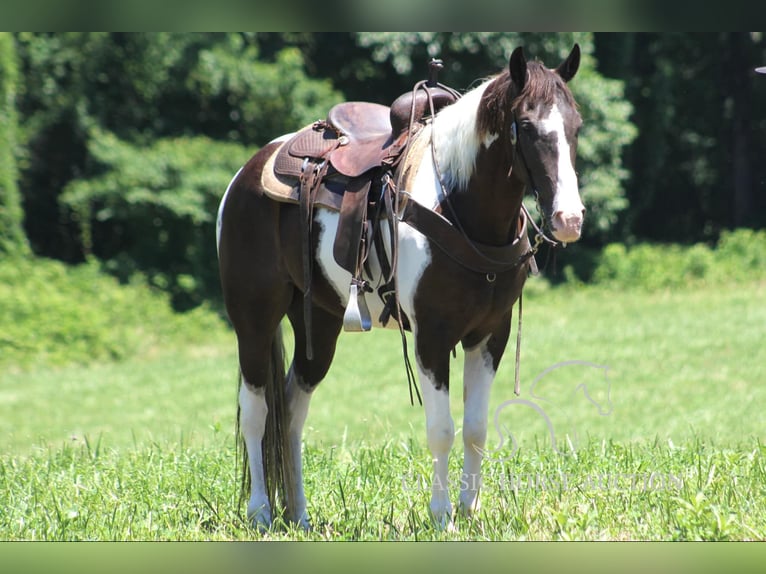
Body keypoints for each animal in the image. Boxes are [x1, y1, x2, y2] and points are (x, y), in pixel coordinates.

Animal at [213, 44, 584, 532]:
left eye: (576, 126)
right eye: (525, 125)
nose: (569, 220)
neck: (462, 208)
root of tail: (247, 172)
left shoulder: (491, 334)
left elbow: (476, 428)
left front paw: (470, 512)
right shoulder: (432, 335)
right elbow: (442, 430)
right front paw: (442, 517)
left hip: (320, 325)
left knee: (291, 410)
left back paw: (300, 515)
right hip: (254, 319)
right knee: (257, 412)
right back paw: (260, 513)